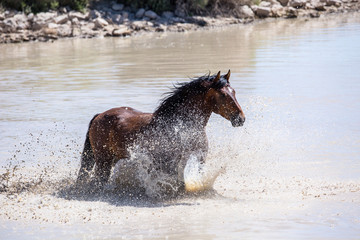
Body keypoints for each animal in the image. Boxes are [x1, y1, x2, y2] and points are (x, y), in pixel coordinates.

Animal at [75, 70, 245, 195]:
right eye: (223, 95)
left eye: (234, 92)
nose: (240, 119)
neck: (180, 124)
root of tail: (99, 116)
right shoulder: (172, 161)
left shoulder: (199, 157)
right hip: (103, 160)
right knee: (98, 180)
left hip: (113, 158)